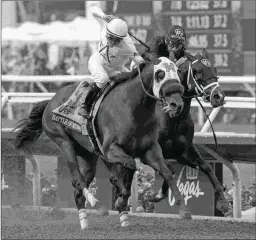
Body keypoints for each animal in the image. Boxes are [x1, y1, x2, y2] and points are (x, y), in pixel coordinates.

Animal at [14, 55, 190, 229]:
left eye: (177, 72)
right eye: (160, 74)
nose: (177, 104)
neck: (133, 108)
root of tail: (50, 101)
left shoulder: (149, 150)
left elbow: (167, 171)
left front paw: (179, 207)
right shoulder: (110, 149)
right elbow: (130, 166)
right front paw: (121, 199)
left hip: (88, 154)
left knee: (79, 189)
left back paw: (85, 222)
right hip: (62, 141)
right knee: (78, 179)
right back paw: (97, 204)